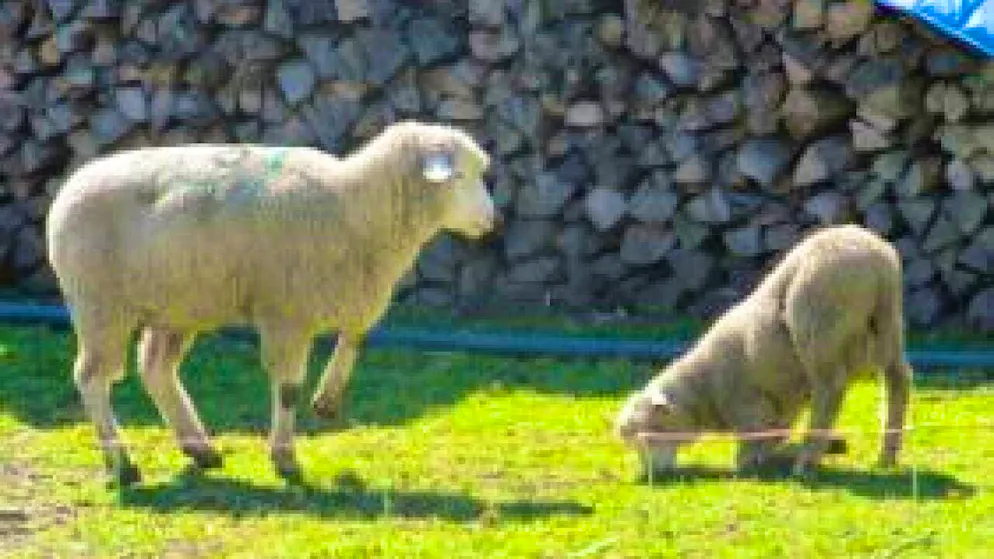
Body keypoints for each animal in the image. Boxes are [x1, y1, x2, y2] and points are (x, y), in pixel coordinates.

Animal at [46, 120, 500, 485]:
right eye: (459, 174)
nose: (492, 221)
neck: (352, 207)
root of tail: (67, 191)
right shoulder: (287, 312)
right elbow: (288, 388)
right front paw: (285, 458)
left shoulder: (342, 290)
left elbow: (355, 335)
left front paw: (328, 399)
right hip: (100, 305)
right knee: (92, 378)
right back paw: (123, 464)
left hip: (176, 304)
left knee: (156, 370)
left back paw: (200, 449)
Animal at [615, 224, 913, 478]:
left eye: (648, 434)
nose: (651, 475)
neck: (706, 387)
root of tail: (875, 257)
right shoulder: (781, 401)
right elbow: (776, 430)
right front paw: (765, 457)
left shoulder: (747, 399)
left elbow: (754, 432)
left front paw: (747, 462)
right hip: (887, 322)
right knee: (898, 378)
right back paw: (887, 453)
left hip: (819, 320)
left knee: (830, 388)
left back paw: (807, 460)